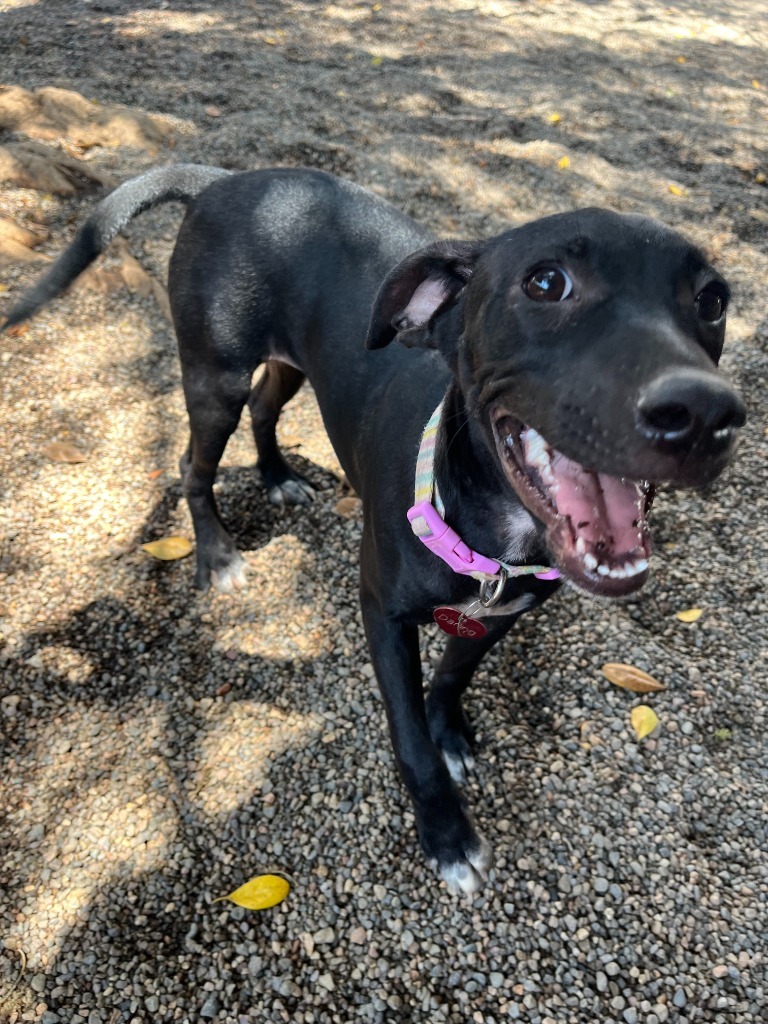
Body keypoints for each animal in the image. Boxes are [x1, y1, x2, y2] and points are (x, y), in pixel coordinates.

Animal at [1, 163, 745, 892]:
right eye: (546, 281)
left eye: (713, 300)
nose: (707, 414)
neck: (494, 541)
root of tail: (222, 177)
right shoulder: (381, 613)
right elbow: (410, 736)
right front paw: (446, 833)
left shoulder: (503, 616)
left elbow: (453, 676)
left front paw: (451, 732)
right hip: (215, 376)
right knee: (193, 462)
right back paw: (215, 553)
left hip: (289, 366)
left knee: (267, 411)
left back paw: (278, 476)